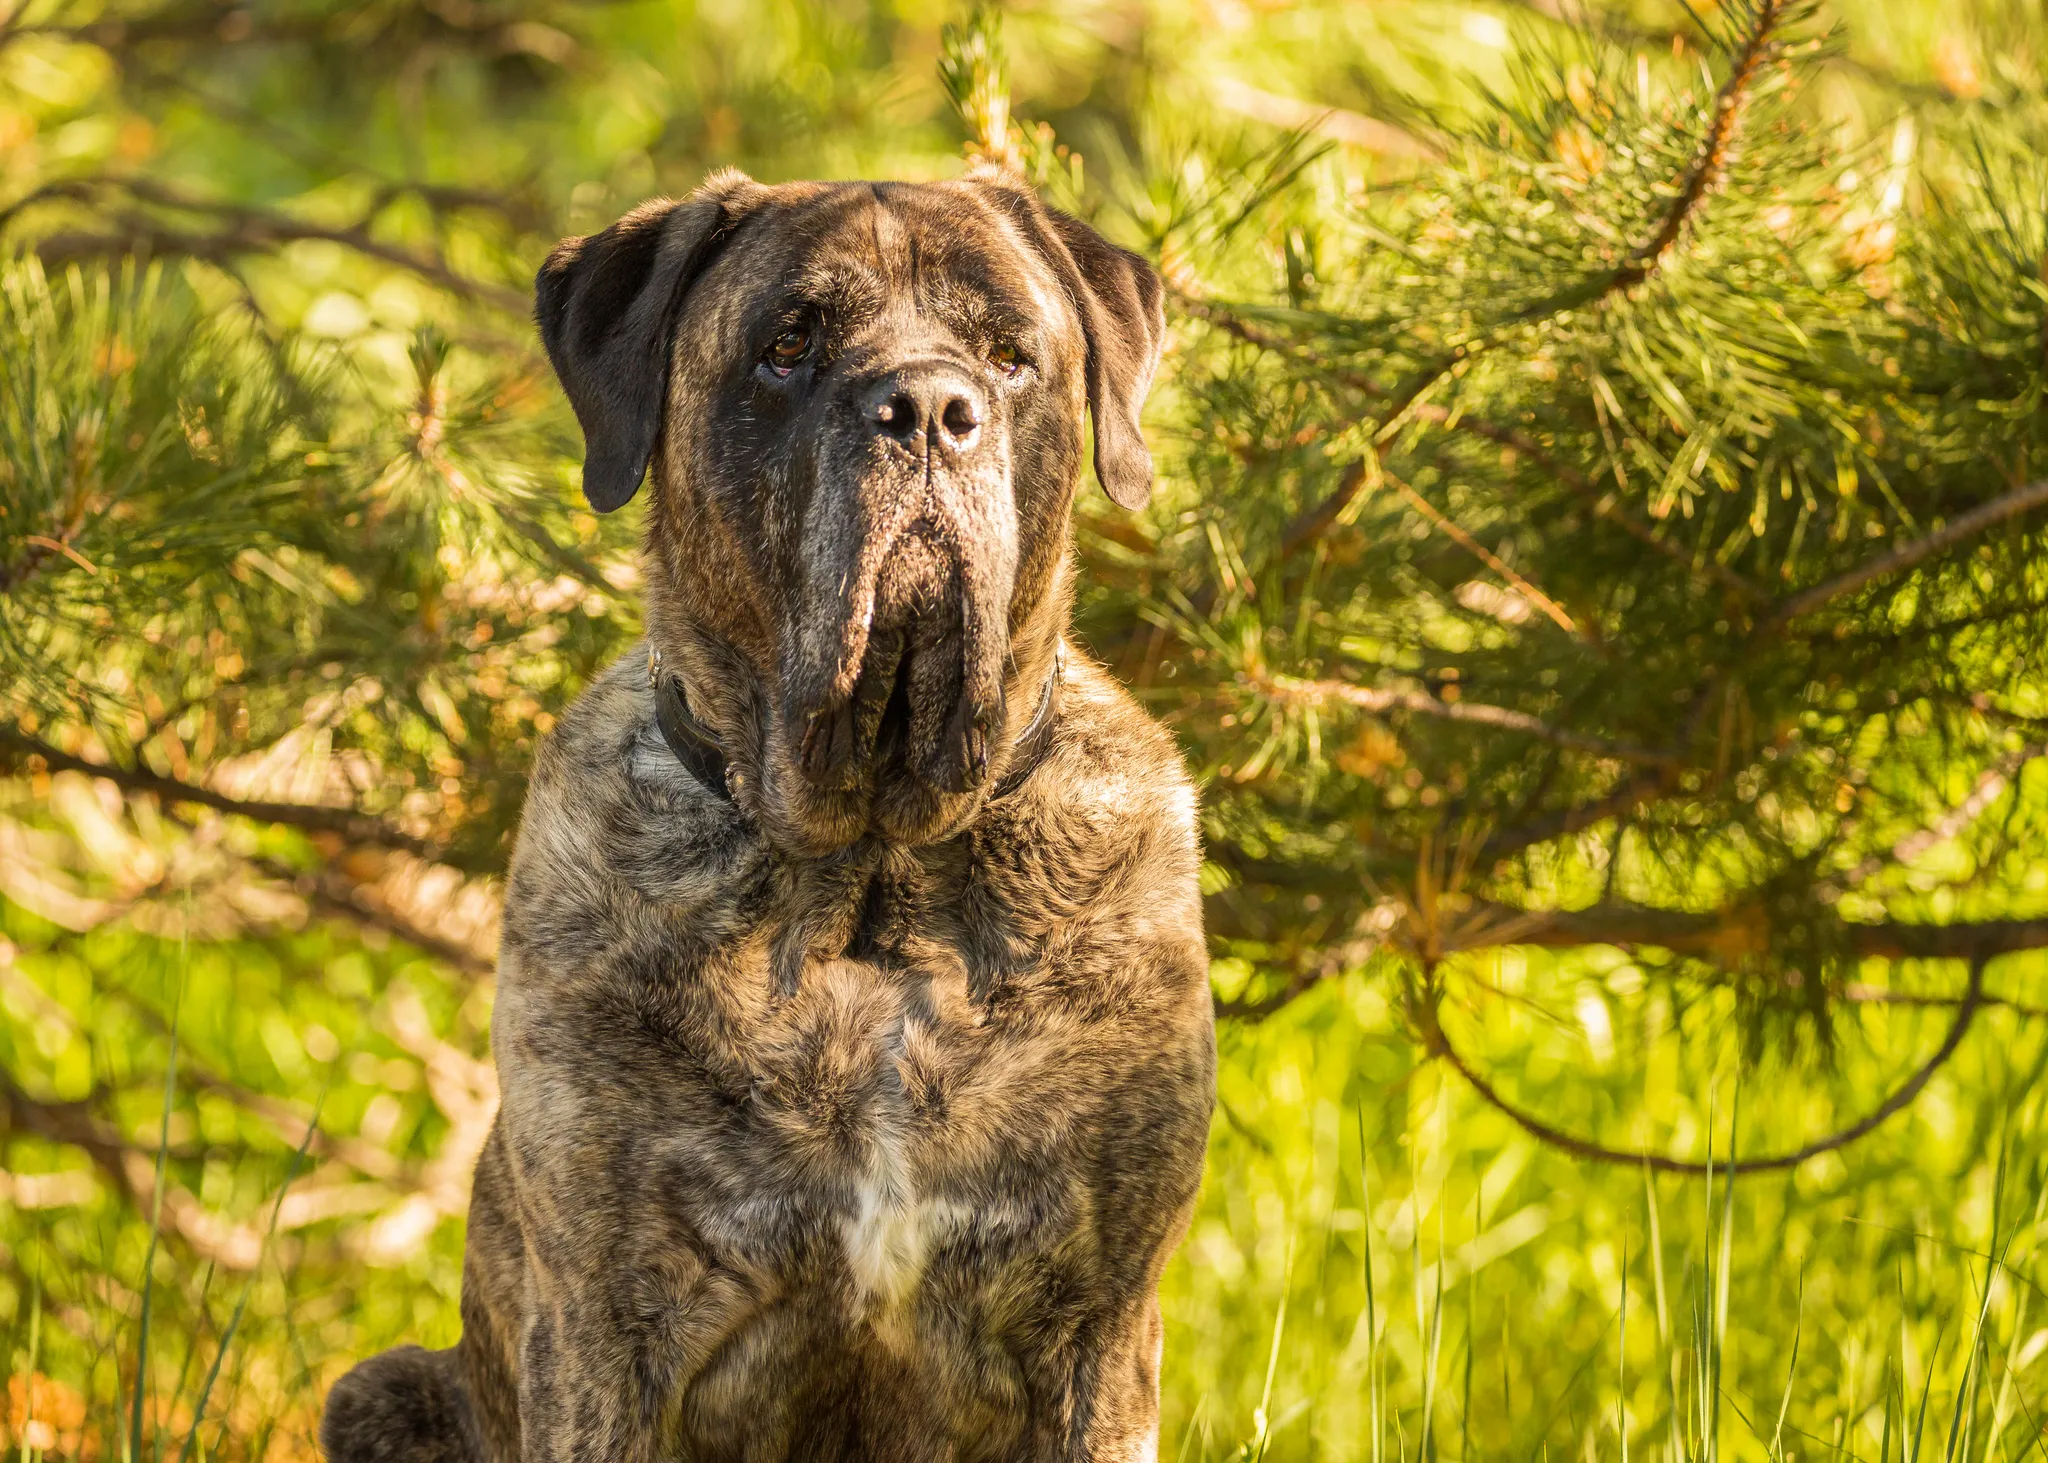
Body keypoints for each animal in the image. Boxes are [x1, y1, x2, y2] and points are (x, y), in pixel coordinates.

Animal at [319, 171, 1212, 1458]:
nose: (928, 407)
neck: (875, 878)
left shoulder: (1094, 1331)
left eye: (1008, 355)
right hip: (381, 1388)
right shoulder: (603, 1329)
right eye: (788, 344)